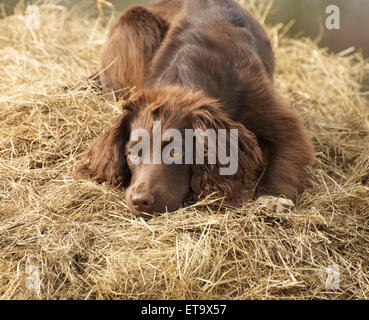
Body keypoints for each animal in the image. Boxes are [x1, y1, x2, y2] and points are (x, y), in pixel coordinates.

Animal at [77, 0, 314, 216]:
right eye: (132, 152)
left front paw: (273, 198)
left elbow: (286, 157)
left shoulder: (272, 111)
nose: (140, 201)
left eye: (175, 151)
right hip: (136, 24)